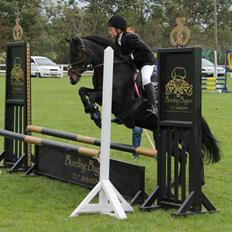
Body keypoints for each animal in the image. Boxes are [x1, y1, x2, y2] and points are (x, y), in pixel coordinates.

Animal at [67, 35, 221, 164]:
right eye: (70, 54)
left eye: (78, 53)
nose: (72, 77)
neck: (113, 68)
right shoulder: (99, 92)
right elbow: (82, 91)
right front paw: (89, 109)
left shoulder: (116, 100)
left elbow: (92, 96)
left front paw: (96, 115)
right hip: (163, 137)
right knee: (181, 156)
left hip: (181, 136)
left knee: (197, 154)